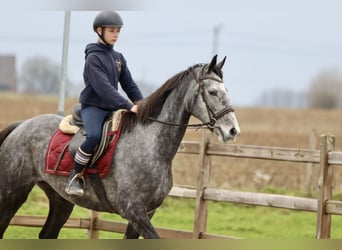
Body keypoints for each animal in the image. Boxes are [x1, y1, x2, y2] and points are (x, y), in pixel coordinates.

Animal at [0, 55, 240, 238]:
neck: (150, 146)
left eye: (226, 90)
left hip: (61, 200)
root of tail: (22, 125)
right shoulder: (134, 211)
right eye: (212, 92)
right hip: (12, 193)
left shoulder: (147, 212)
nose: (232, 130)